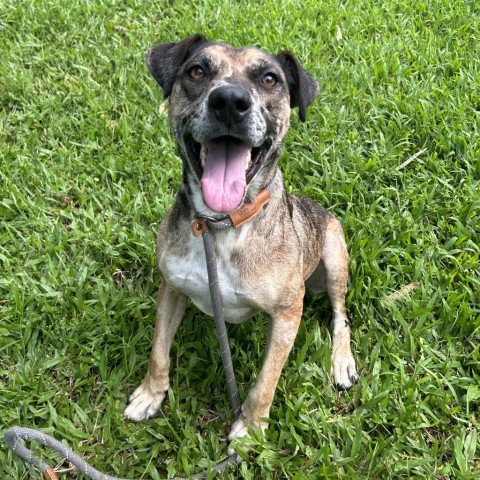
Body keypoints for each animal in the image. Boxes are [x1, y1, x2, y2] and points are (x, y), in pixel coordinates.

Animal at [125, 33, 358, 450]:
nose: (230, 101)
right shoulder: (171, 288)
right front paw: (151, 395)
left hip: (333, 253)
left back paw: (341, 360)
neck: (221, 225)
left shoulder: (287, 314)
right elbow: (158, 352)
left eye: (269, 79)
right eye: (196, 71)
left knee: (340, 314)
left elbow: (266, 381)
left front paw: (250, 429)